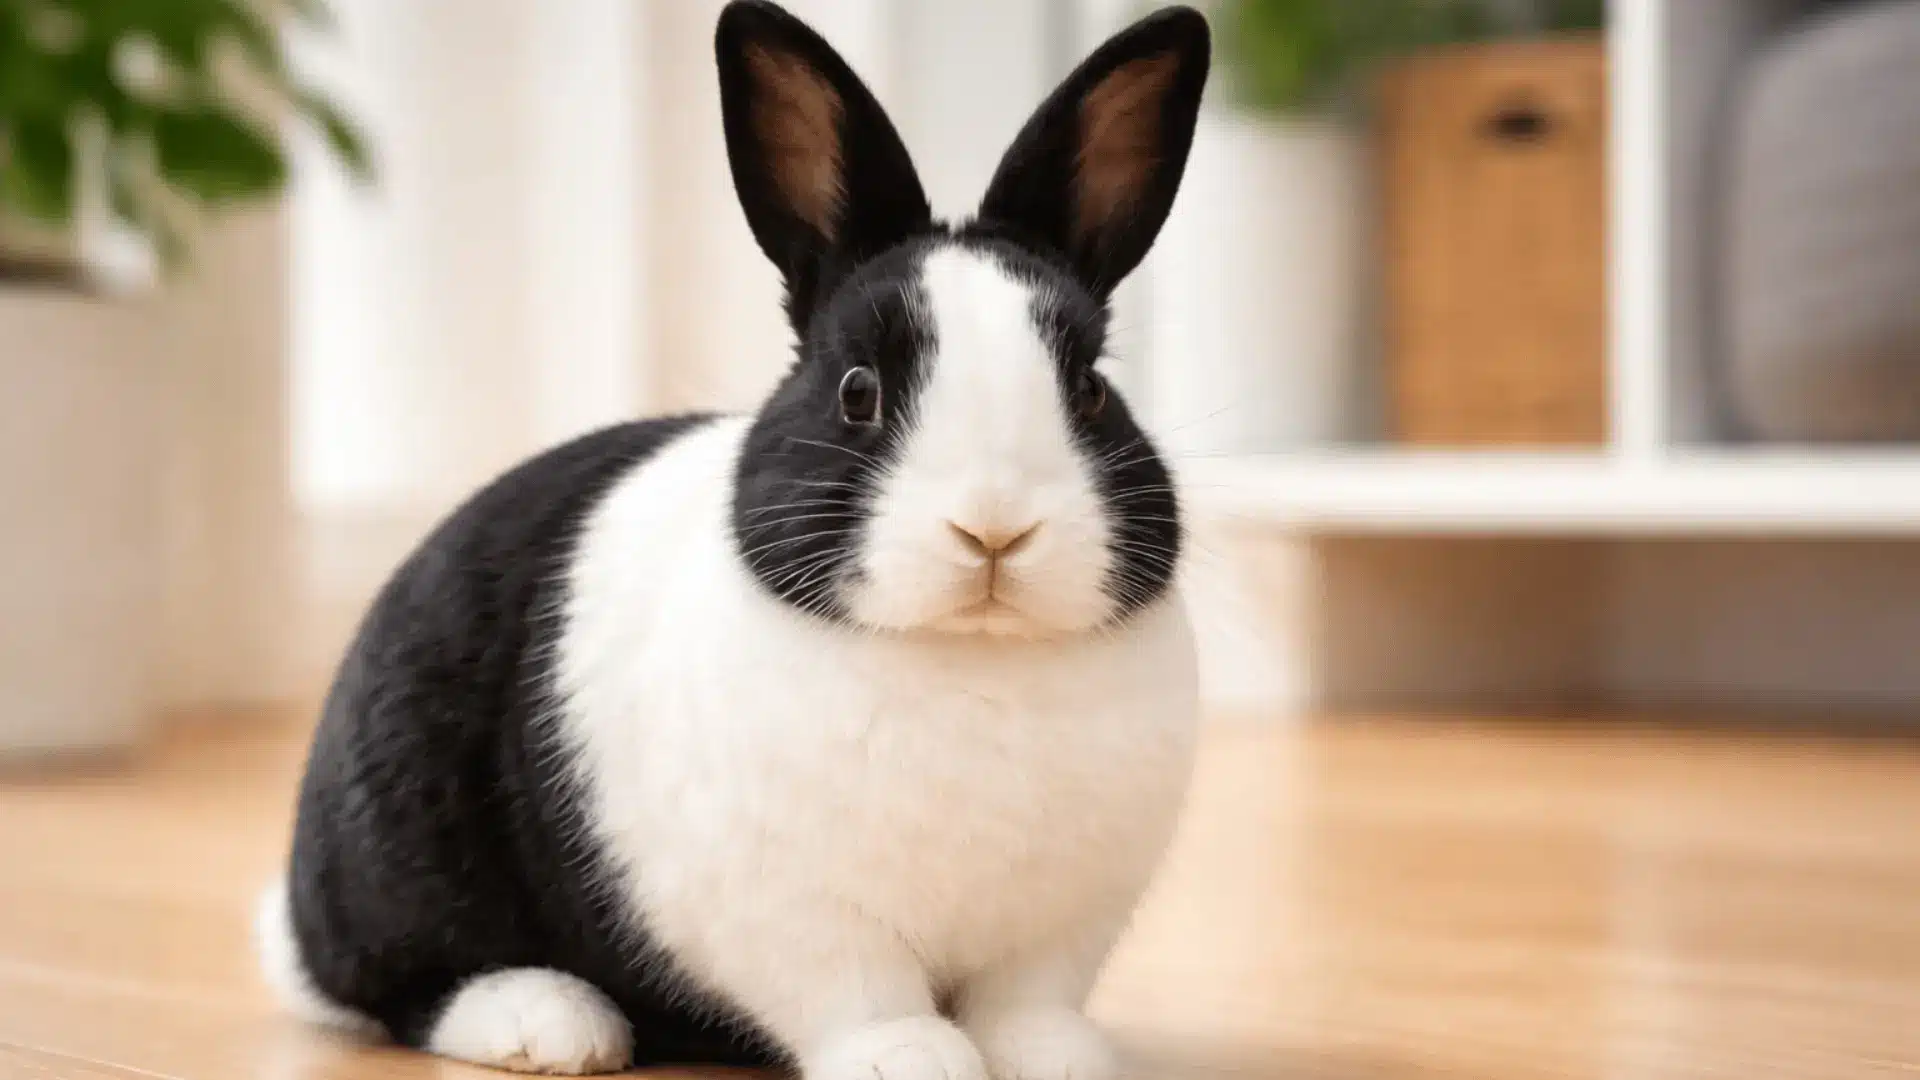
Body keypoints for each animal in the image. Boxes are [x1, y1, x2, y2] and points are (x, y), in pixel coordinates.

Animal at [254, 2, 1212, 1077]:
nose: (995, 527)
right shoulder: (795, 909)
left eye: (1089, 389)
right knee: (402, 987)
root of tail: (297, 914)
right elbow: (860, 990)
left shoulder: (1064, 924)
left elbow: (1028, 1003)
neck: (973, 656)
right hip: (403, 838)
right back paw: (550, 1024)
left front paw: (1060, 1059)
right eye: (858, 393)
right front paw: (909, 1061)